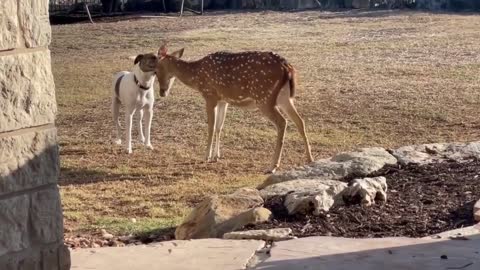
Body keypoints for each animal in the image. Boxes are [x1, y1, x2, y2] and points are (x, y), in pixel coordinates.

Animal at [155, 44, 316, 173]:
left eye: (156, 70)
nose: (162, 92)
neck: (196, 77)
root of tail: (287, 67)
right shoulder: (223, 100)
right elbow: (219, 127)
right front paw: (216, 156)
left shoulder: (210, 95)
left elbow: (211, 127)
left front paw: (206, 156)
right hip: (285, 97)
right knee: (300, 121)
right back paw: (310, 159)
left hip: (264, 97)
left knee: (283, 122)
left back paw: (272, 166)